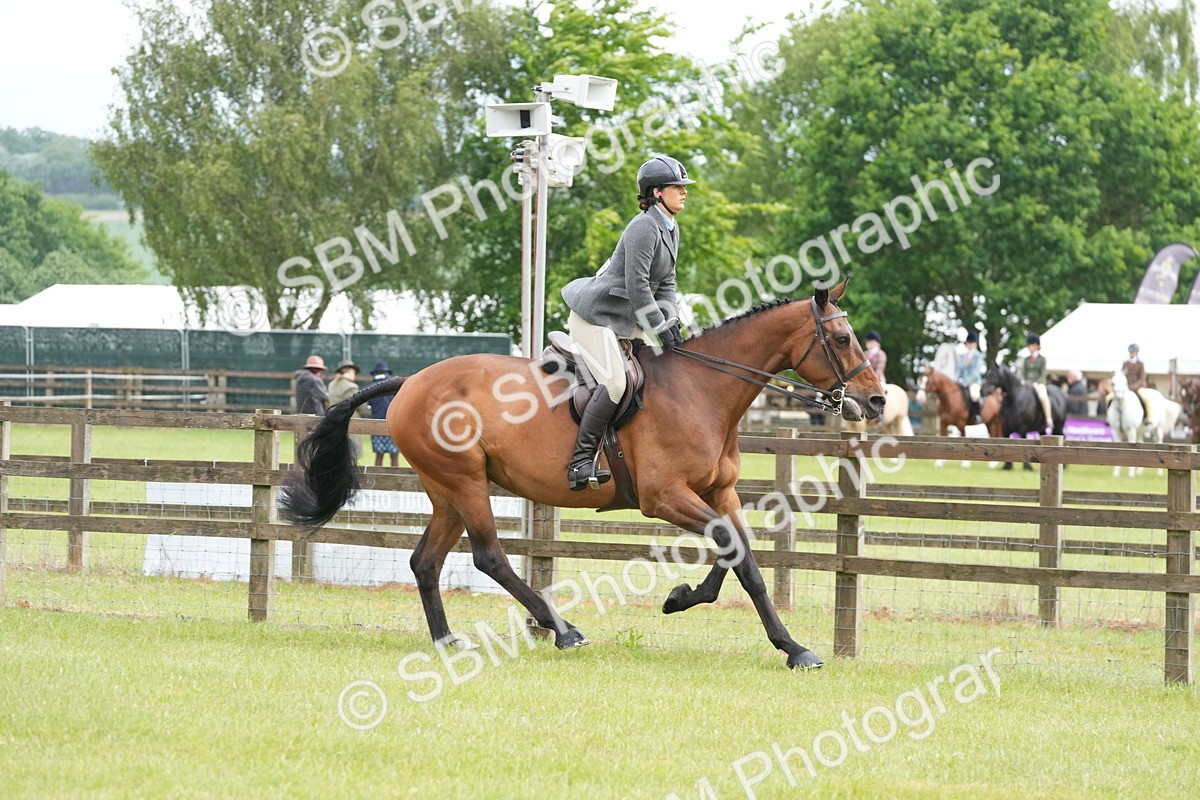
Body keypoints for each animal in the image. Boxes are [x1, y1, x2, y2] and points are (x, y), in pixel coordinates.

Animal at [279, 282, 886, 670]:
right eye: (841, 340)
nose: (877, 400)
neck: (704, 390)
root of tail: (409, 382)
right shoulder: (665, 497)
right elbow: (737, 554)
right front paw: (789, 647)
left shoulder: (721, 492)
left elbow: (742, 558)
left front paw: (692, 601)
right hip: (464, 483)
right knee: (489, 556)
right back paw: (564, 632)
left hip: (447, 490)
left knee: (426, 562)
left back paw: (449, 641)